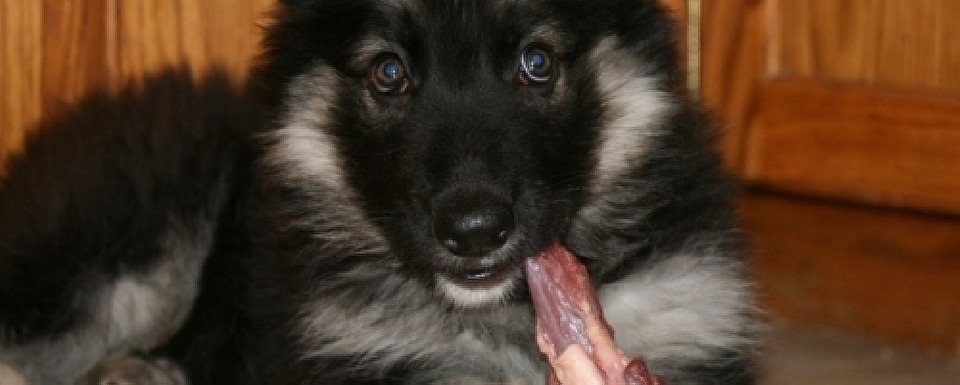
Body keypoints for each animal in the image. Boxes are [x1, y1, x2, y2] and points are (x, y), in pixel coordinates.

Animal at [3, 0, 760, 384]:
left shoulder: (685, 319)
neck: (505, 320)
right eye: (389, 72)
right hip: (138, 228)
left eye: (536, 62)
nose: (474, 231)